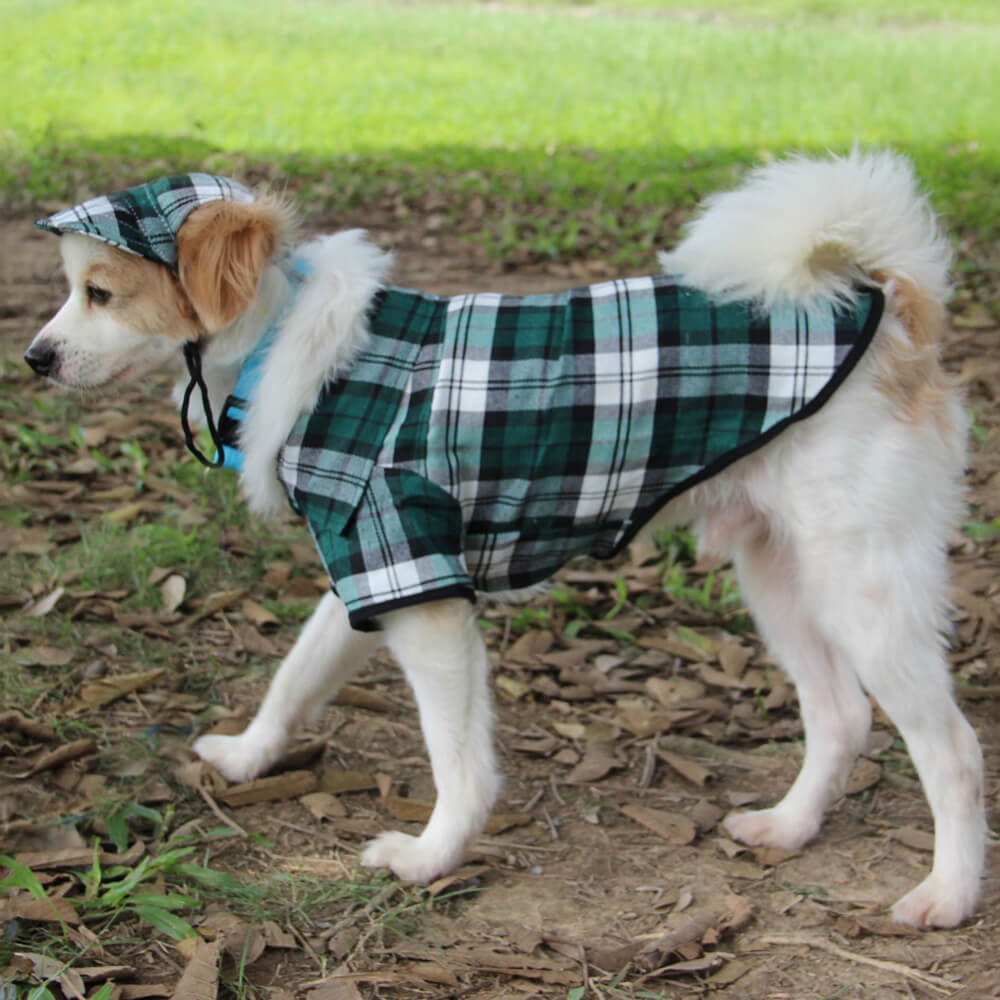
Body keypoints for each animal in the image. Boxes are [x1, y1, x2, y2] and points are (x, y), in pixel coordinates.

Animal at [23, 150, 984, 928]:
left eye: (99, 292)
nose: (34, 358)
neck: (300, 348)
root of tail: (888, 304)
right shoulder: (373, 566)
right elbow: (296, 676)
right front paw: (251, 756)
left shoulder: (423, 596)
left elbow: (458, 760)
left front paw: (430, 856)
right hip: (779, 575)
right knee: (841, 714)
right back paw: (789, 826)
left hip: (862, 587)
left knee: (953, 749)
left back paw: (949, 895)